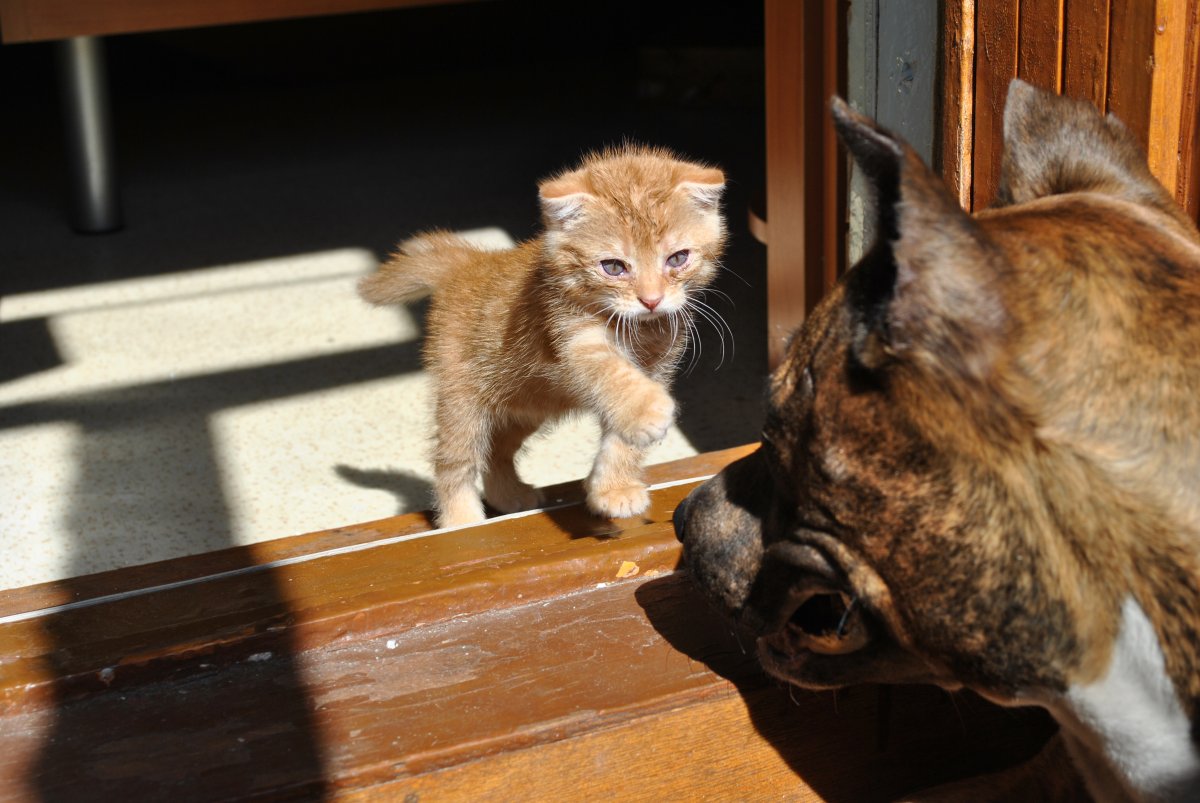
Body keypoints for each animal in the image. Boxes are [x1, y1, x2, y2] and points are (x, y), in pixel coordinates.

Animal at [355, 145, 724, 525]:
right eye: (613, 267)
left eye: (677, 259)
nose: (651, 300)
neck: (641, 328)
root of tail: (469, 263)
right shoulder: (574, 339)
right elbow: (613, 375)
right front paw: (645, 411)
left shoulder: (658, 367)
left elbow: (622, 438)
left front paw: (614, 489)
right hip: (462, 401)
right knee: (454, 461)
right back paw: (461, 520)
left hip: (526, 404)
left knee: (497, 452)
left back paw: (509, 496)